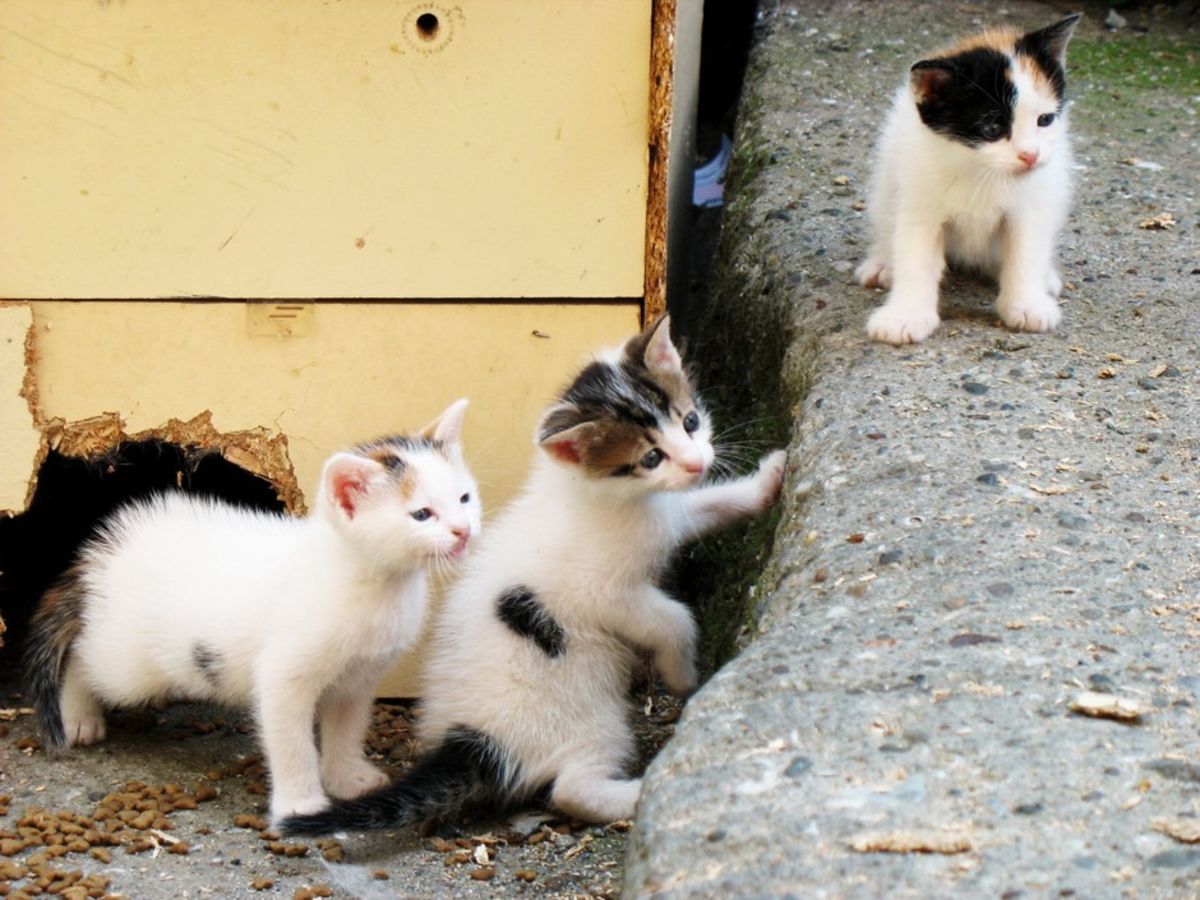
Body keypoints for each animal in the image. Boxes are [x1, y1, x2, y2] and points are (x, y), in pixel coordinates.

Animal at [24, 400, 482, 825]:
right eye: (421, 514)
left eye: (464, 498)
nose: (463, 531)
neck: (371, 582)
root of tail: (106, 549)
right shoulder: (282, 676)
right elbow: (291, 742)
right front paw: (301, 803)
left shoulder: (358, 678)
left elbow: (346, 729)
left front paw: (347, 778)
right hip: (126, 664)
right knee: (84, 655)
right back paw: (79, 716)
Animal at [283, 316, 787, 840]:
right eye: (650, 458)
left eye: (689, 422)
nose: (696, 462)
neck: (605, 498)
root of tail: (473, 740)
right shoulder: (602, 593)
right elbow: (672, 619)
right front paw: (682, 674)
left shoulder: (670, 513)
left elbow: (710, 504)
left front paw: (769, 479)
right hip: (588, 719)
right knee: (570, 788)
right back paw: (641, 792)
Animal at [859, 14, 1084, 345]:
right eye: (992, 128)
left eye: (1045, 120)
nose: (1030, 155)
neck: (979, 169)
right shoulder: (919, 197)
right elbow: (915, 253)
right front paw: (905, 316)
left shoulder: (1031, 203)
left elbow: (1026, 248)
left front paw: (1027, 305)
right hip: (887, 178)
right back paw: (883, 263)